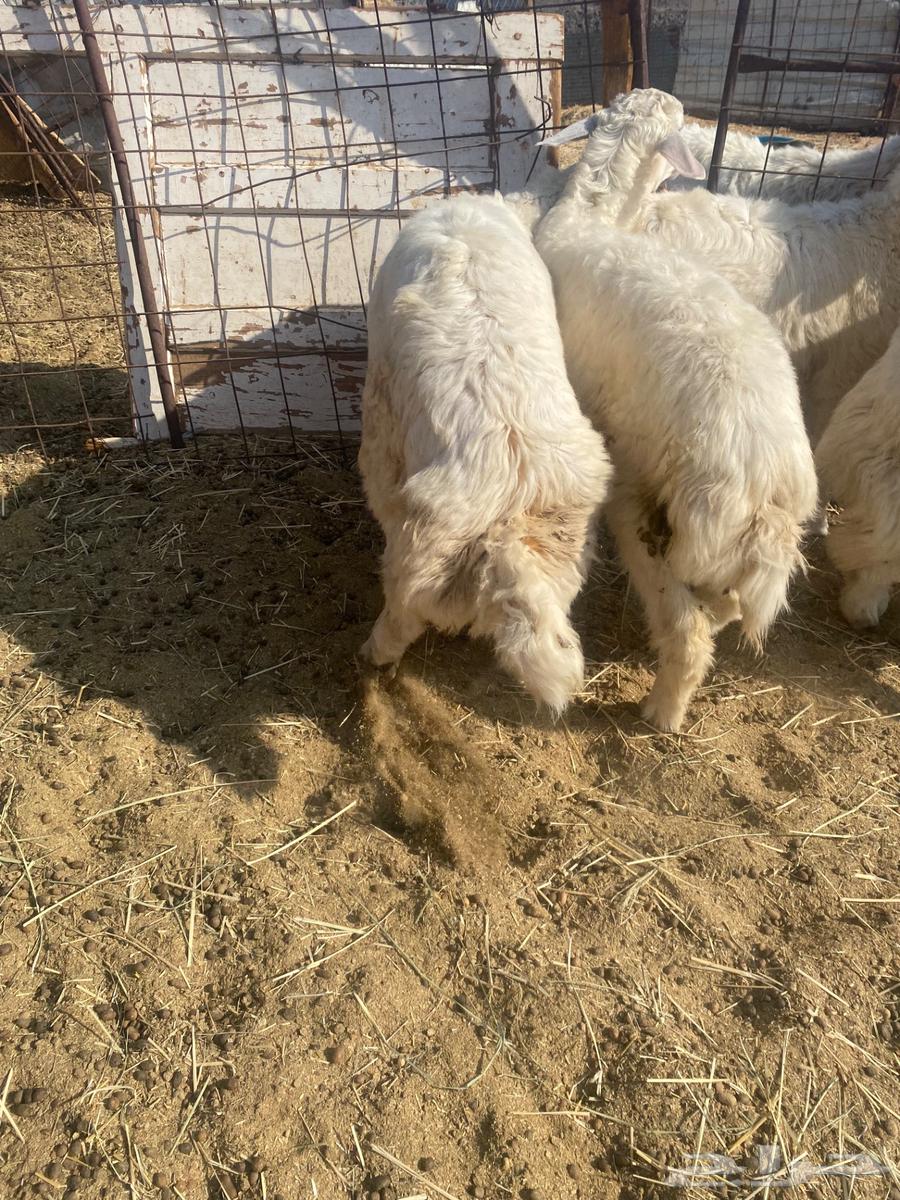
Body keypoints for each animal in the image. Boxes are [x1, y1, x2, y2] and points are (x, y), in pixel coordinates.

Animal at [534, 181, 818, 732]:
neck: (587, 219)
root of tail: (763, 497)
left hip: (651, 516)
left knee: (689, 633)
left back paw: (662, 712)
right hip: (718, 551)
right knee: (725, 604)